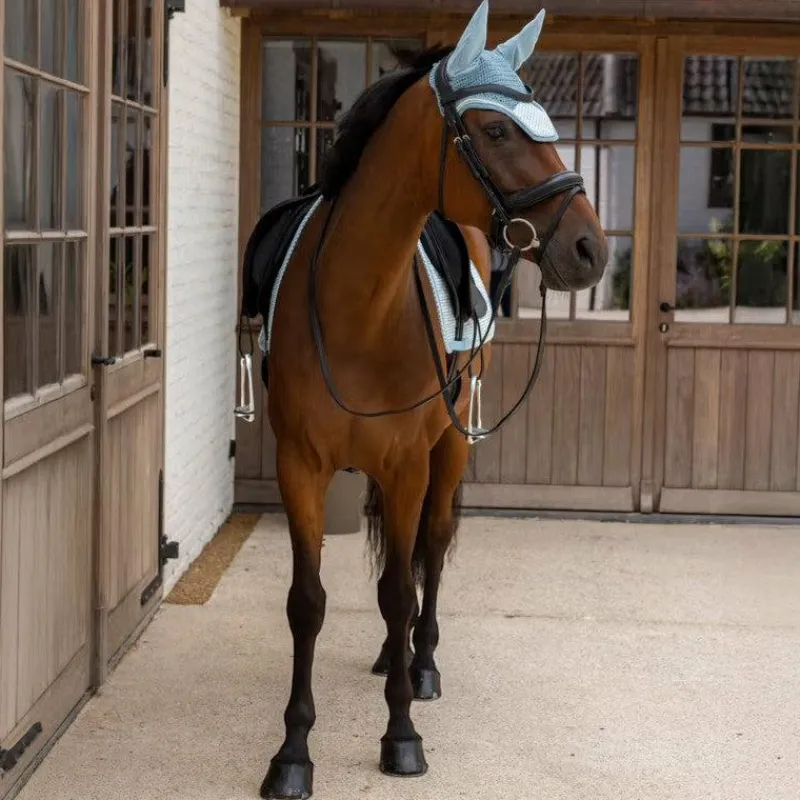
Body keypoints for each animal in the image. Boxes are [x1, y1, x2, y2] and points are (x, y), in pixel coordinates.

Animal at [239, 3, 608, 797]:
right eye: (496, 131)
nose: (592, 249)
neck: (359, 307)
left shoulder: (410, 462)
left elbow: (402, 587)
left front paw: (402, 733)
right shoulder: (300, 467)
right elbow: (309, 603)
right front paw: (293, 751)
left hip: (446, 449)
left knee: (429, 553)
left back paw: (423, 663)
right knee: (396, 564)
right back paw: (393, 656)